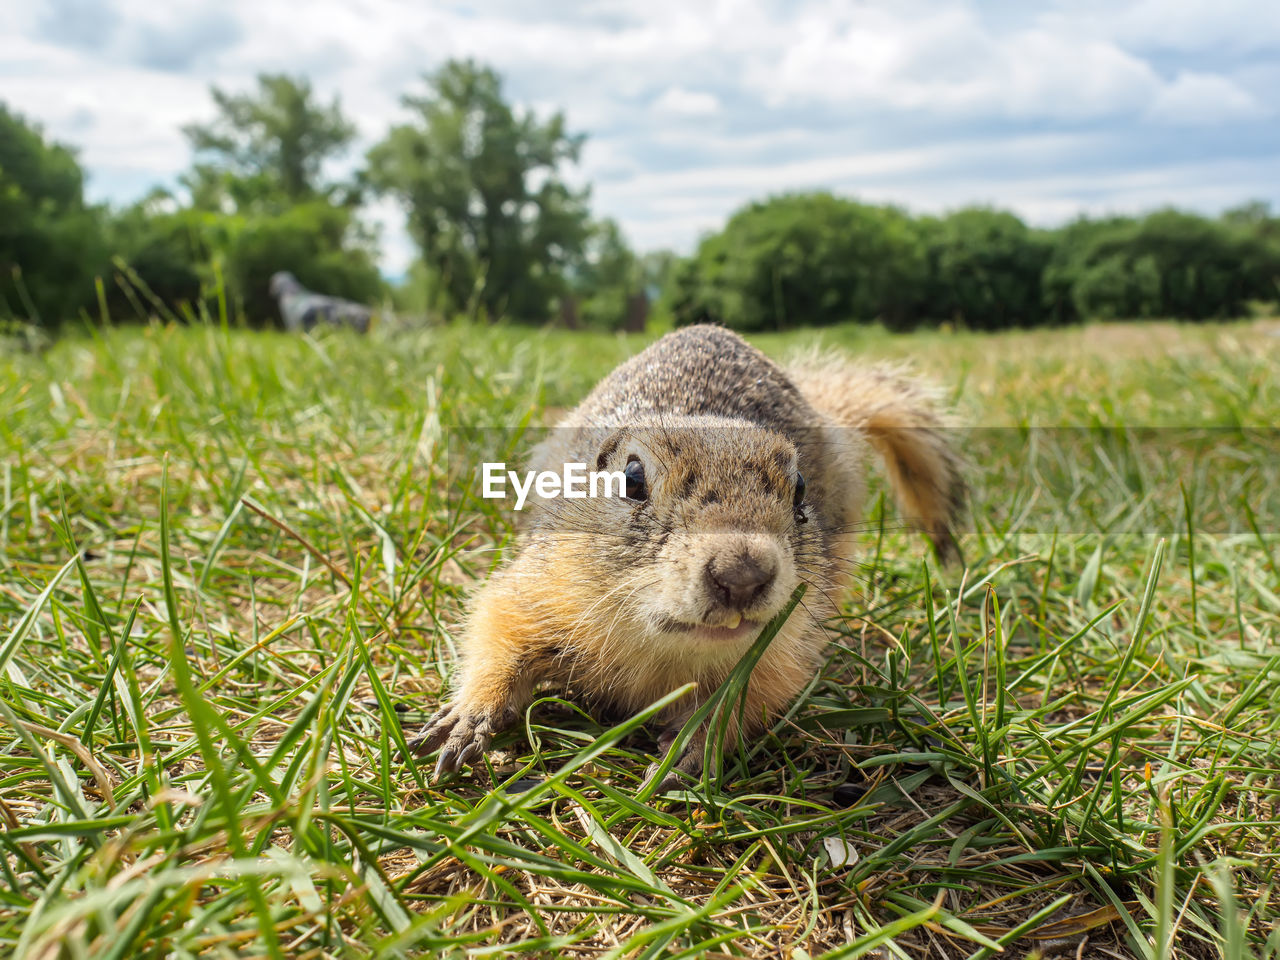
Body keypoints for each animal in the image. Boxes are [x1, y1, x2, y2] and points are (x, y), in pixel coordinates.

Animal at [409, 323, 962, 788]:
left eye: (801, 490)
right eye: (632, 478)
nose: (743, 575)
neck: (667, 651)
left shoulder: (786, 647)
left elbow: (747, 697)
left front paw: (692, 749)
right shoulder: (541, 582)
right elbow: (497, 630)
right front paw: (467, 719)